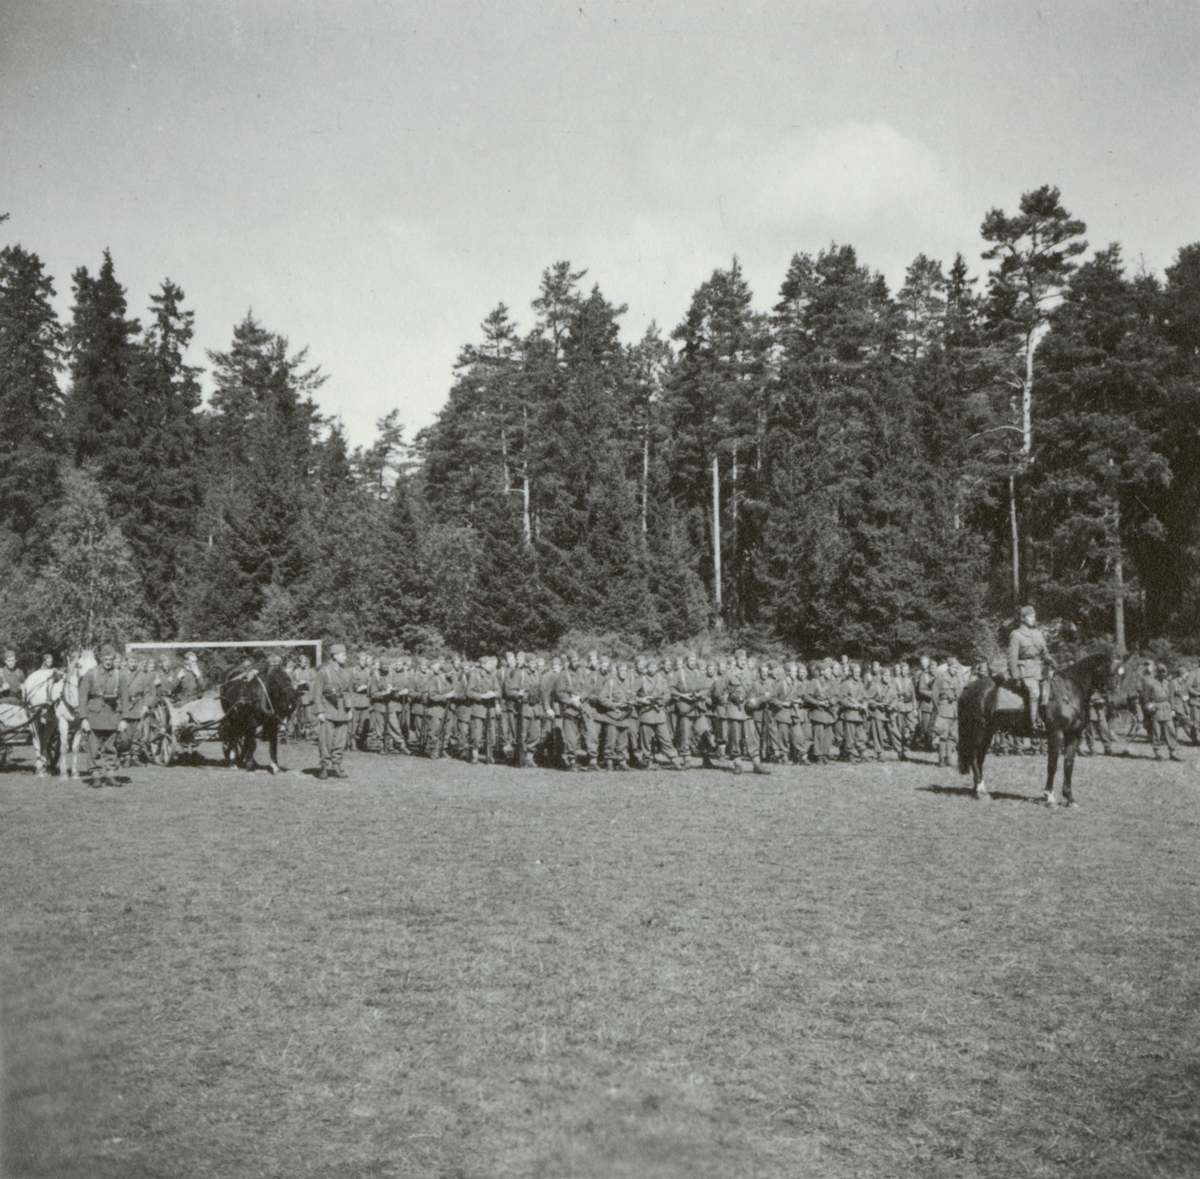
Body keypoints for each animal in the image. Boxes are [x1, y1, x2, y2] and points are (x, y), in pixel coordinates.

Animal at [955, 648, 1113, 806]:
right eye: (1109, 671)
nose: (1104, 702)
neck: (1068, 692)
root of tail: (967, 688)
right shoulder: (1056, 735)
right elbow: (1052, 765)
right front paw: (1050, 797)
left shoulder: (1073, 736)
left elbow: (1068, 765)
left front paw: (1070, 798)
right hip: (979, 730)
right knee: (973, 755)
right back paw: (981, 790)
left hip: (988, 732)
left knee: (979, 758)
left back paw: (978, 789)